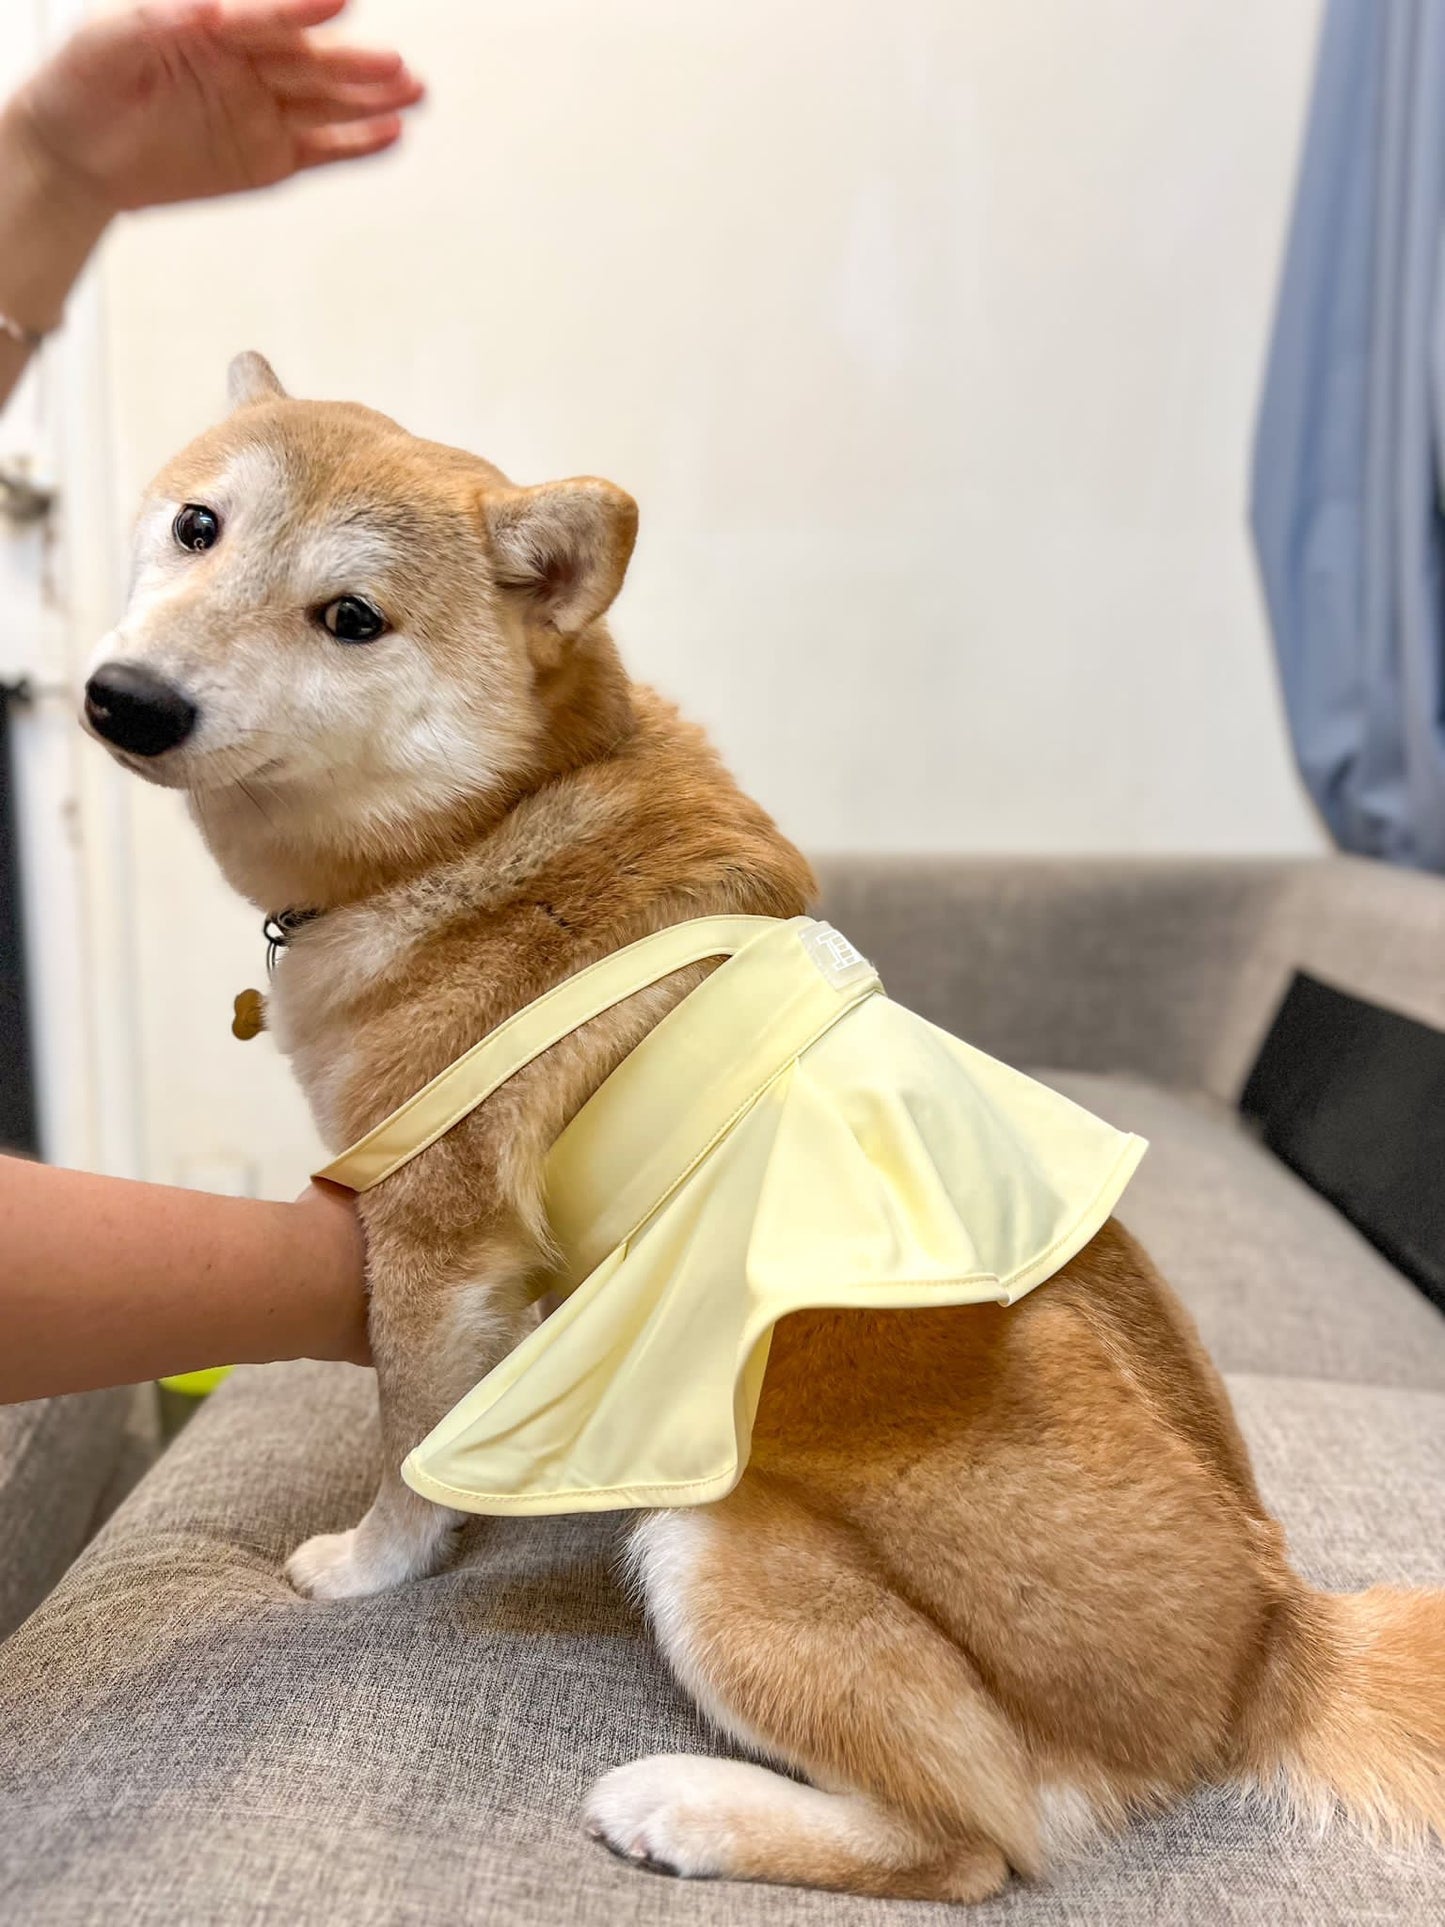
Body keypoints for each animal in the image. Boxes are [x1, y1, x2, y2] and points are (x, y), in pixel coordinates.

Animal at [81, 354, 1445, 1903]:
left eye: (352, 617)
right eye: (197, 526)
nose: (125, 699)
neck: (481, 829)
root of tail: (1271, 1643)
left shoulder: (431, 1242)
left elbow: (410, 1448)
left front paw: (370, 1563)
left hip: (717, 1539)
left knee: (973, 1846)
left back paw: (686, 1807)